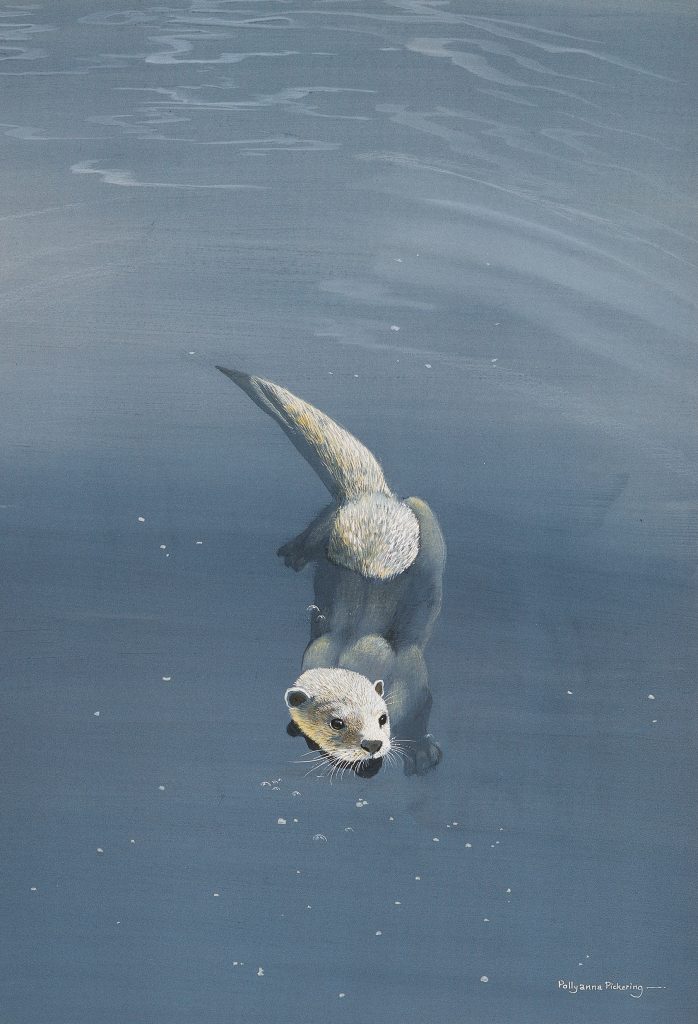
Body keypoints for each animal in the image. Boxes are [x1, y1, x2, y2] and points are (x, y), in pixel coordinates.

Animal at [218, 368, 445, 775]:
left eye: (382, 718)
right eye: (335, 723)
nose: (371, 745)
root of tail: (370, 496)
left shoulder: (414, 676)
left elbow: (421, 708)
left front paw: (421, 751)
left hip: (422, 519)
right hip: (333, 525)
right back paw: (293, 552)